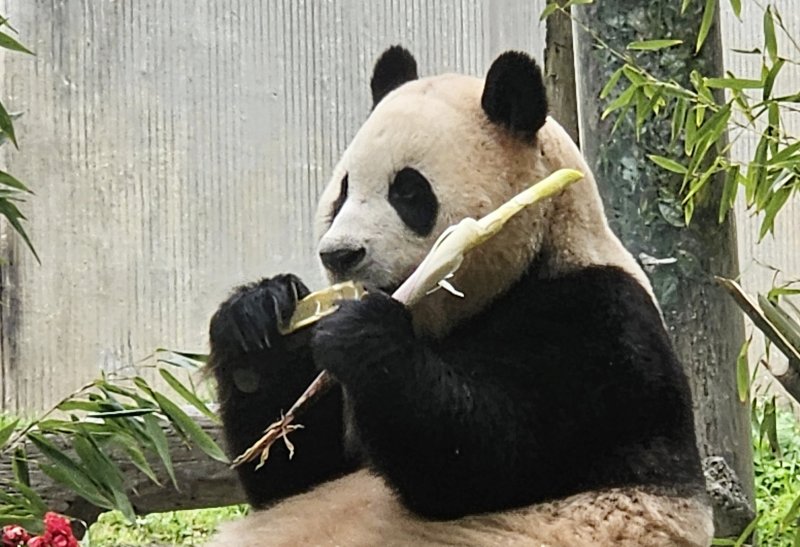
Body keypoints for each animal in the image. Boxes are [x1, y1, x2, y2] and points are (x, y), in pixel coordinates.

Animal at [206, 47, 712, 547]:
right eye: (343, 192)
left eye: (408, 191)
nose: (340, 254)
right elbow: (298, 470)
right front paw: (256, 317)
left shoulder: (597, 326)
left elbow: (483, 460)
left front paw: (361, 332)